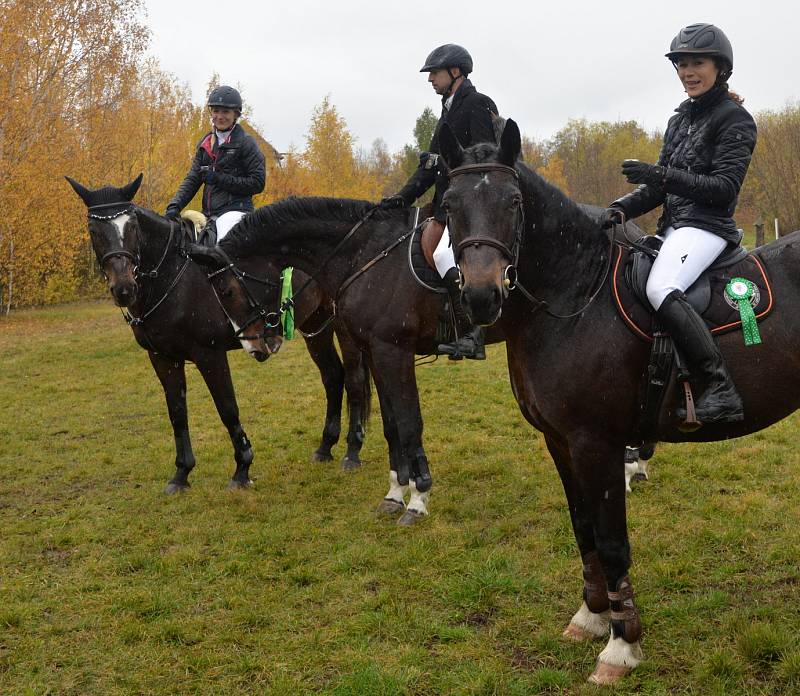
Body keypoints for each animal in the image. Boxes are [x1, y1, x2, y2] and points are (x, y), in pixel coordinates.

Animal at [66, 177, 372, 492]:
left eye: (132, 227)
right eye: (94, 230)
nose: (124, 288)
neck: (173, 273)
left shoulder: (209, 354)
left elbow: (227, 408)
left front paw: (242, 468)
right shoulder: (162, 357)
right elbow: (177, 411)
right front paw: (181, 473)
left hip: (343, 328)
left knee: (354, 380)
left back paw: (352, 450)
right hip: (314, 325)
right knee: (332, 375)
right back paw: (325, 446)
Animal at [185, 194, 504, 520]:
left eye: (226, 291)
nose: (255, 348)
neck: (363, 255)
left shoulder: (395, 352)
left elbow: (409, 421)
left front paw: (418, 497)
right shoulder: (376, 352)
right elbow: (391, 422)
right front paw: (395, 491)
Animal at [438, 117, 800, 684]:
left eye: (514, 202)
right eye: (449, 202)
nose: (479, 295)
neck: (575, 296)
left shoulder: (597, 444)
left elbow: (611, 541)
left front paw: (620, 646)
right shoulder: (559, 442)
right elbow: (583, 528)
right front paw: (590, 616)